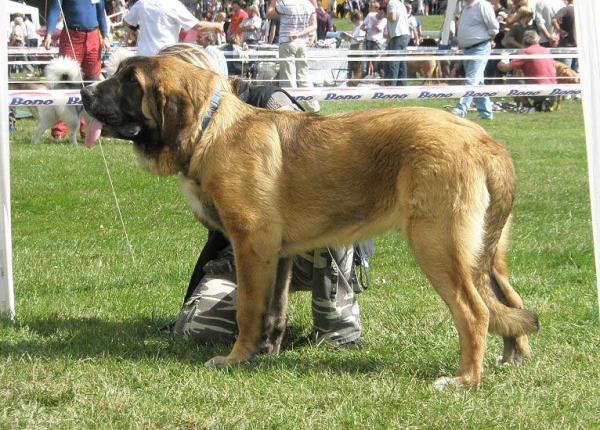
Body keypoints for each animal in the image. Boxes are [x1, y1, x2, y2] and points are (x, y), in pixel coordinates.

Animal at [81, 55, 540, 388]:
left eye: (129, 81)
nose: (83, 91)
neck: (210, 129)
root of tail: (484, 141)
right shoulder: (276, 254)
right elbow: (274, 309)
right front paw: (263, 353)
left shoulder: (252, 245)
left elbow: (248, 308)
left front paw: (234, 358)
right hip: (485, 253)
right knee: (509, 302)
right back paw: (513, 357)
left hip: (437, 245)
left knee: (474, 311)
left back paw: (464, 379)